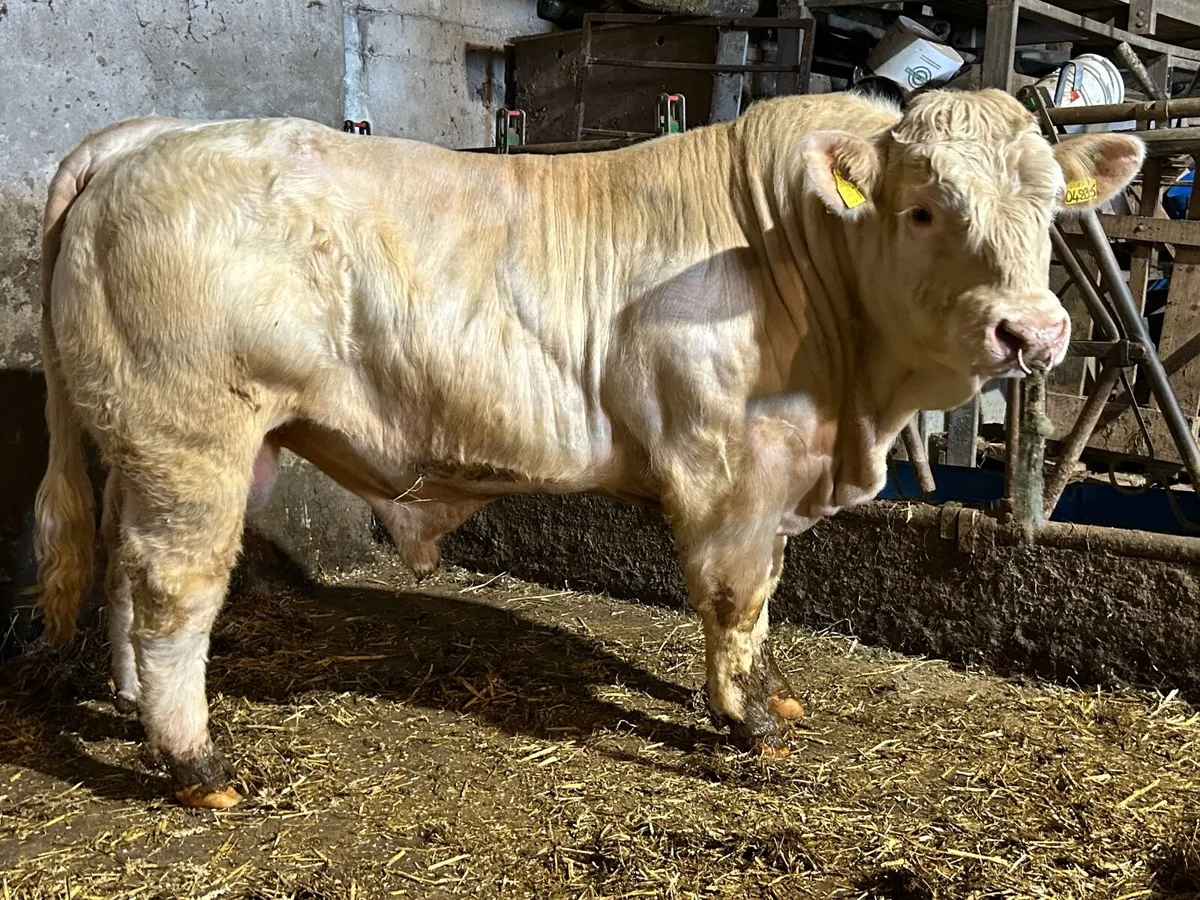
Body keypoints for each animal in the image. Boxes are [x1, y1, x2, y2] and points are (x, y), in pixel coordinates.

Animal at [33, 89, 1143, 809]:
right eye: (921, 208)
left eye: (1049, 211)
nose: (1034, 332)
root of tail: (148, 137)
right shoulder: (729, 472)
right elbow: (735, 599)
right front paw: (748, 724)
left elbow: (768, 598)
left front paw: (772, 692)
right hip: (194, 437)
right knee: (174, 589)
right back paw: (197, 765)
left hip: (148, 445)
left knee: (127, 570)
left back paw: (128, 706)